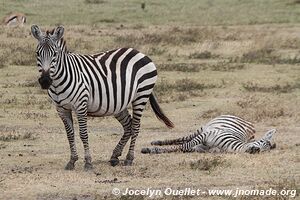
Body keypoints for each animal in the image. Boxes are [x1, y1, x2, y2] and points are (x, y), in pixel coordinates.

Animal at [30, 25, 173, 170]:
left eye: (55, 54)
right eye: (37, 53)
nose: (45, 81)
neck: (58, 82)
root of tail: (138, 52)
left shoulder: (81, 105)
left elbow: (83, 134)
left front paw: (88, 162)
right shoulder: (61, 109)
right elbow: (70, 135)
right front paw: (72, 161)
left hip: (141, 94)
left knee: (136, 126)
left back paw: (129, 158)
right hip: (119, 103)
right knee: (128, 126)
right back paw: (114, 156)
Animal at [141, 115, 276, 154]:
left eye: (265, 151)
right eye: (262, 142)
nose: (255, 150)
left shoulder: (202, 148)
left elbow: (185, 148)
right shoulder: (206, 135)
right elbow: (183, 146)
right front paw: (151, 150)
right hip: (202, 129)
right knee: (182, 139)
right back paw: (156, 142)